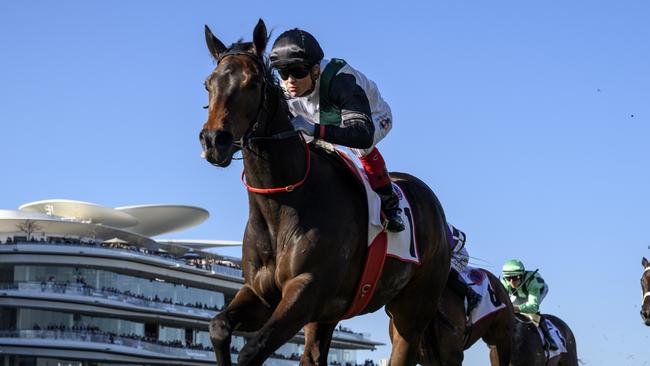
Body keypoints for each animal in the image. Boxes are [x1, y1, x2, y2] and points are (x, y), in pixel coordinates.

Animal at [199, 20, 450, 366]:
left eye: (252, 83)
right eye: (208, 83)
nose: (214, 140)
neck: (283, 205)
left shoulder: (306, 290)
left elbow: (251, 350)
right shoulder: (260, 294)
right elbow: (218, 327)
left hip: (412, 311)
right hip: (330, 315)